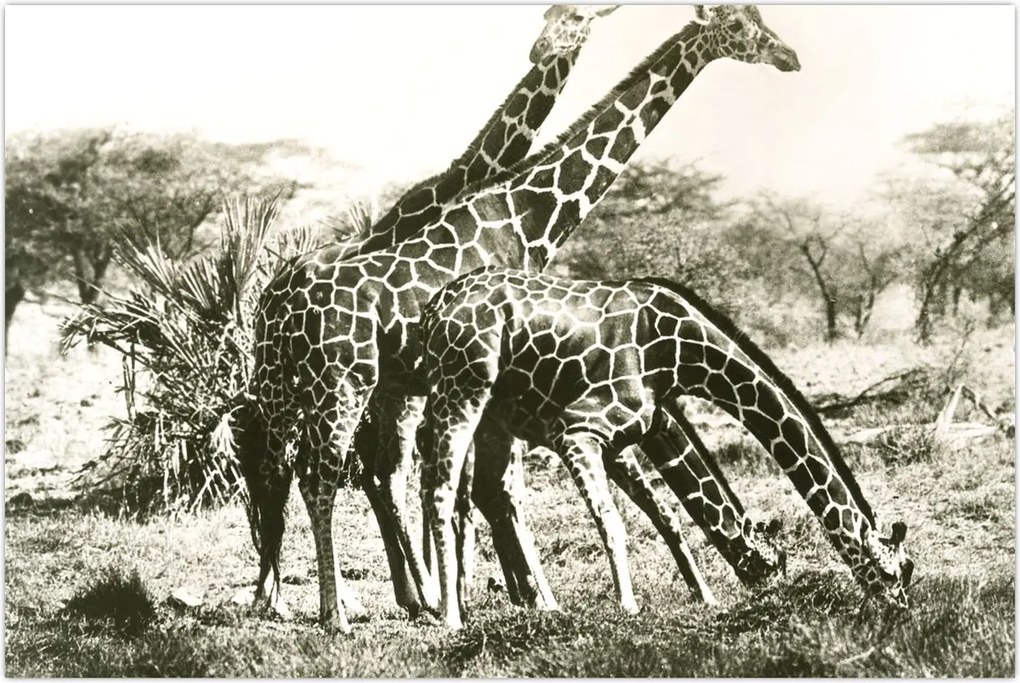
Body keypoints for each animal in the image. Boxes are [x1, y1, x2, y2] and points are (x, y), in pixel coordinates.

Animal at [249, 4, 800, 631]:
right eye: (740, 24)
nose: (789, 56)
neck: (524, 214)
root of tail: (279, 300)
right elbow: (496, 490)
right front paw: (528, 599)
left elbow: (480, 489)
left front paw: (498, 594)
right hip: (345, 383)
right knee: (324, 474)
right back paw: (339, 610)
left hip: (290, 387)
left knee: (292, 471)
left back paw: (297, 599)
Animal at [416, 266, 915, 628]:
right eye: (894, 572)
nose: (903, 612)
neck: (680, 354)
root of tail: (434, 308)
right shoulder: (578, 430)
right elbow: (613, 521)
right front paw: (629, 607)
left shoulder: (628, 435)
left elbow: (668, 515)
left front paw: (705, 597)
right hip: (463, 389)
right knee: (442, 489)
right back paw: (452, 616)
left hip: (487, 415)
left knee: (482, 495)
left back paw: (524, 605)